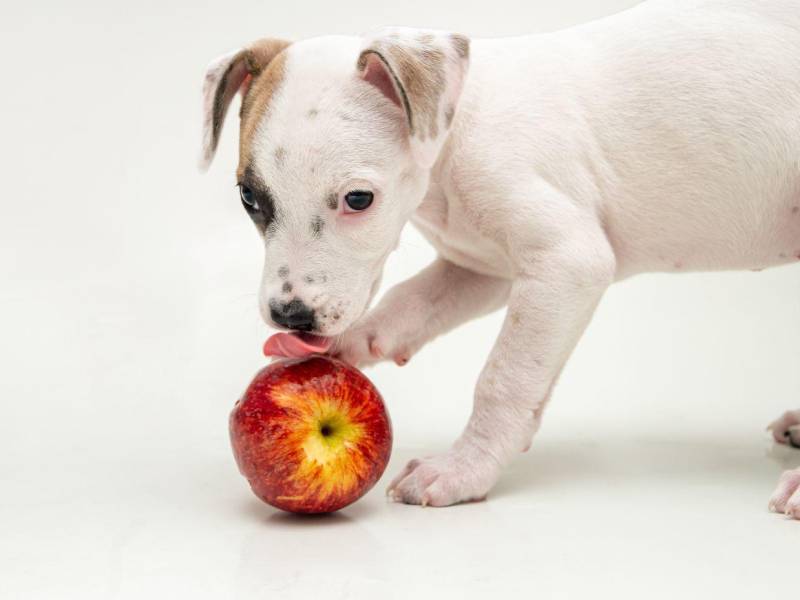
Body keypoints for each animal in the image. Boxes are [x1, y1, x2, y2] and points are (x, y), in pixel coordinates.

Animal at [198, 0, 800, 516]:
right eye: (249, 198)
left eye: (359, 200)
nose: (290, 316)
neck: (455, 127)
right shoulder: (483, 267)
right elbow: (408, 302)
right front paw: (353, 343)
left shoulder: (567, 261)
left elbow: (504, 379)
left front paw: (463, 469)